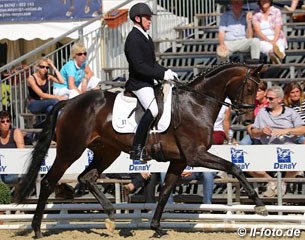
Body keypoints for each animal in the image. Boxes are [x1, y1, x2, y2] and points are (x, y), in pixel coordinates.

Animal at [14, 62, 266, 238]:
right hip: (70, 150)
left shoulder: (180, 161)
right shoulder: (196, 155)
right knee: (49, 181)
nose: (248, 119)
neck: (197, 103)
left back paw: (111, 216)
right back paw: (37, 229)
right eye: (250, 88)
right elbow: (234, 167)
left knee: (87, 177)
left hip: (107, 151)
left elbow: (164, 192)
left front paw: (156, 227)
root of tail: (69, 102)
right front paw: (260, 205)